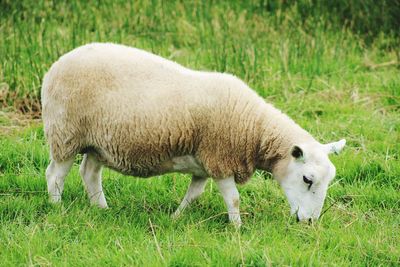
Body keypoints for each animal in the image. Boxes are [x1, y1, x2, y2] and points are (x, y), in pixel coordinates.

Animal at [42, 43, 346, 227]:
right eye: (307, 179)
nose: (310, 222)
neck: (253, 129)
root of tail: (58, 62)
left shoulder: (203, 165)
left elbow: (194, 195)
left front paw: (176, 217)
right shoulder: (220, 159)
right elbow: (234, 198)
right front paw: (238, 227)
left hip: (98, 143)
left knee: (90, 173)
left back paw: (101, 209)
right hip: (65, 133)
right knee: (55, 175)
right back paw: (57, 208)